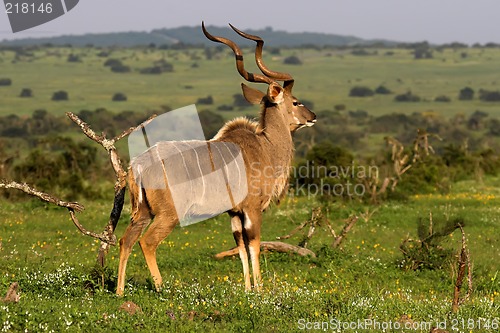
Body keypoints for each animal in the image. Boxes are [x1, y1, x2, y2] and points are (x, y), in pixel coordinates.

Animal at [115, 22, 314, 296]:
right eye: (295, 102)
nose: (313, 116)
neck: (265, 147)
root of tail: (138, 165)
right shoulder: (252, 209)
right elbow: (254, 244)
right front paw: (259, 290)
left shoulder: (234, 213)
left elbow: (240, 246)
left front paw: (248, 289)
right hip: (168, 215)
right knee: (147, 242)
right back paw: (161, 288)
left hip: (142, 212)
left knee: (126, 240)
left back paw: (119, 292)